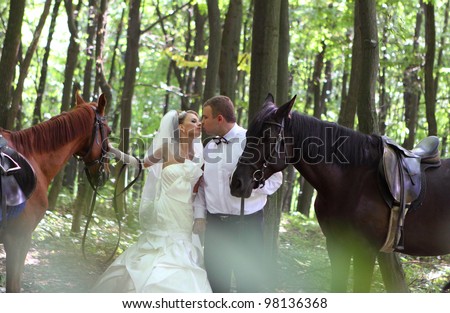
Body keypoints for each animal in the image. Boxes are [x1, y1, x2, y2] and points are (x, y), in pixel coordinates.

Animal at [230, 94, 448, 292]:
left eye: (267, 137)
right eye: (247, 135)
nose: (237, 183)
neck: (353, 182)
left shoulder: (365, 251)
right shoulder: (336, 245)